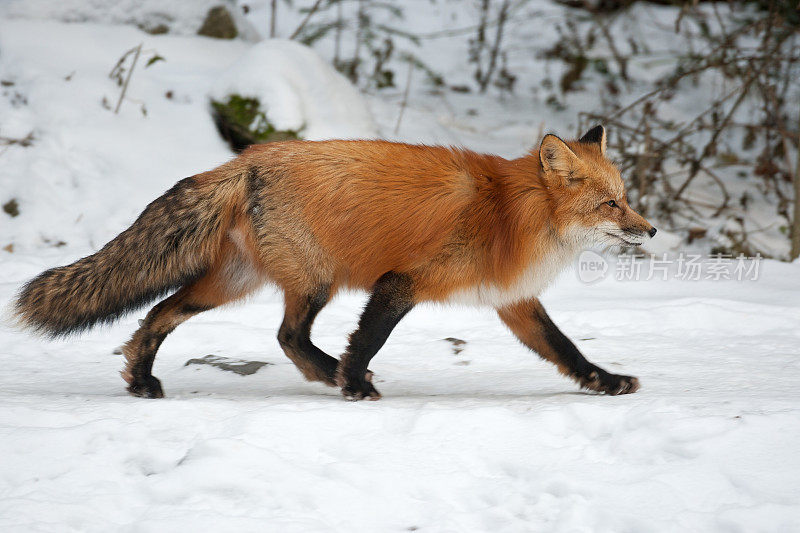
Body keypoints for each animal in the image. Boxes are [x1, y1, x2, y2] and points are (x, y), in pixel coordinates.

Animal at [14, 125, 656, 400]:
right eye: (611, 204)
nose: (650, 230)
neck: (510, 214)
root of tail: (246, 160)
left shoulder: (513, 303)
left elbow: (566, 350)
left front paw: (606, 382)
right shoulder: (403, 282)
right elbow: (369, 338)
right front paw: (352, 383)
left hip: (230, 285)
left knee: (156, 317)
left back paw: (141, 380)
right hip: (315, 282)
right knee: (288, 337)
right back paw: (334, 375)